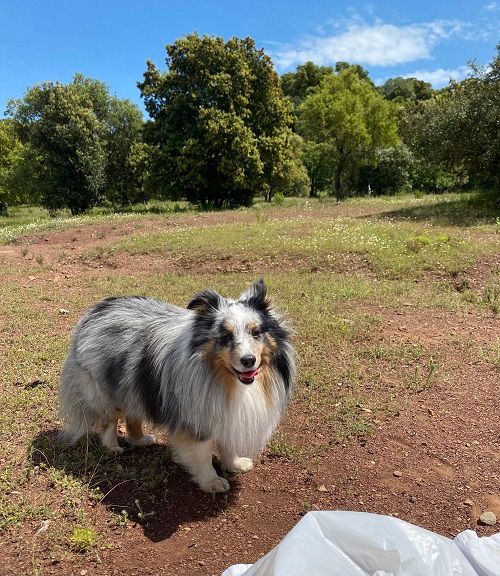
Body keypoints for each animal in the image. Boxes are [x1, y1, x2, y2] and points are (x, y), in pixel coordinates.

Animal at [58, 280, 294, 490]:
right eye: (226, 335)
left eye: (256, 333)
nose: (248, 361)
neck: (226, 379)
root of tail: (98, 308)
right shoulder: (197, 417)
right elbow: (203, 453)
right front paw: (211, 482)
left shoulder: (224, 413)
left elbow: (227, 444)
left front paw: (235, 464)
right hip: (104, 389)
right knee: (110, 420)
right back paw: (113, 447)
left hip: (134, 384)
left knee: (133, 414)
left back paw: (140, 440)